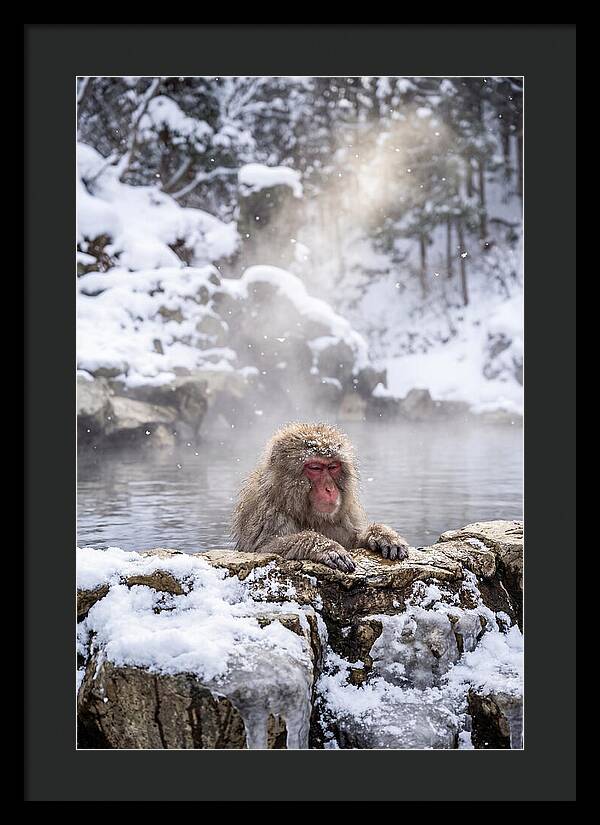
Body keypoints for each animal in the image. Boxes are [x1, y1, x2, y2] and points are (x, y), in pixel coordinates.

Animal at [231, 422, 410, 573]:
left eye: (333, 467)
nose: (329, 489)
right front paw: (325, 547)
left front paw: (381, 535)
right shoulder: (266, 512)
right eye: (315, 468)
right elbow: (263, 549)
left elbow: (353, 541)